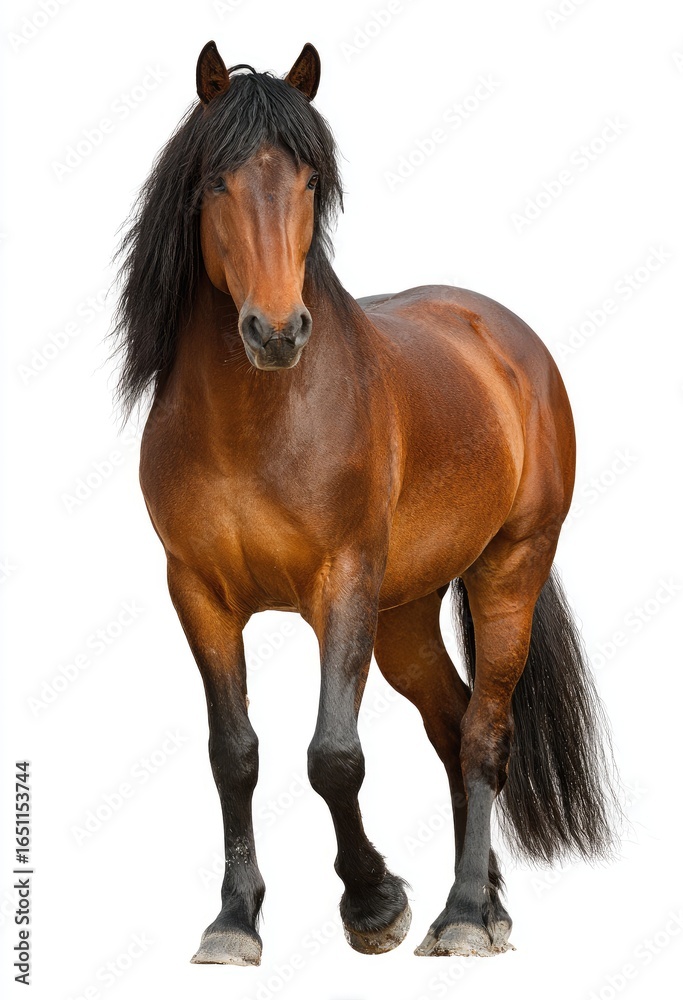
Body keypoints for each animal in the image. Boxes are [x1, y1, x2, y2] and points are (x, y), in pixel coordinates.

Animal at [113, 40, 618, 965]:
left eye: (310, 180)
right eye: (214, 182)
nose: (276, 332)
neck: (258, 422)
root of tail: (508, 341)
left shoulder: (342, 582)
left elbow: (332, 756)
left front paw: (373, 902)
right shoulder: (197, 594)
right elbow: (233, 753)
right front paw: (234, 920)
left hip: (508, 569)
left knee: (485, 732)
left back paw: (462, 915)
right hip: (406, 613)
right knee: (450, 723)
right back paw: (486, 901)